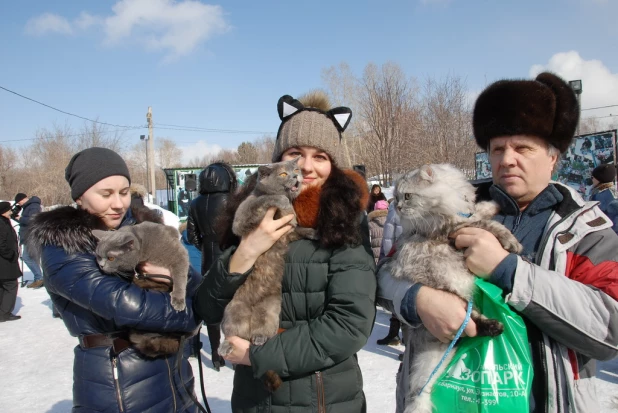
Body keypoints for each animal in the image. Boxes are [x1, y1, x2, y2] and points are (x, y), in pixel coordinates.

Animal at [219, 156, 300, 392]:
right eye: (283, 174)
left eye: (297, 169)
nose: (296, 177)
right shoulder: (242, 216)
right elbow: (267, 199)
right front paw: (282, 202)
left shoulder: (290, 231)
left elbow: (300, 228)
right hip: (232, 311)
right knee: (230, 334)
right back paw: (226, 346)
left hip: (271, 309)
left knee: (264, 331)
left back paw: (259, 339)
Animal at [388, 163, 524, 412]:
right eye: (395, 198)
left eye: (407, 196)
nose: (398, 207)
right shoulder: (456, 227)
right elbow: (489, 224)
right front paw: (511, 242)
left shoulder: (464, 218)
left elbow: (482, 210)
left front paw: (494, 204)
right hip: (456, 295)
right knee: (473, 320)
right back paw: (493, 327)